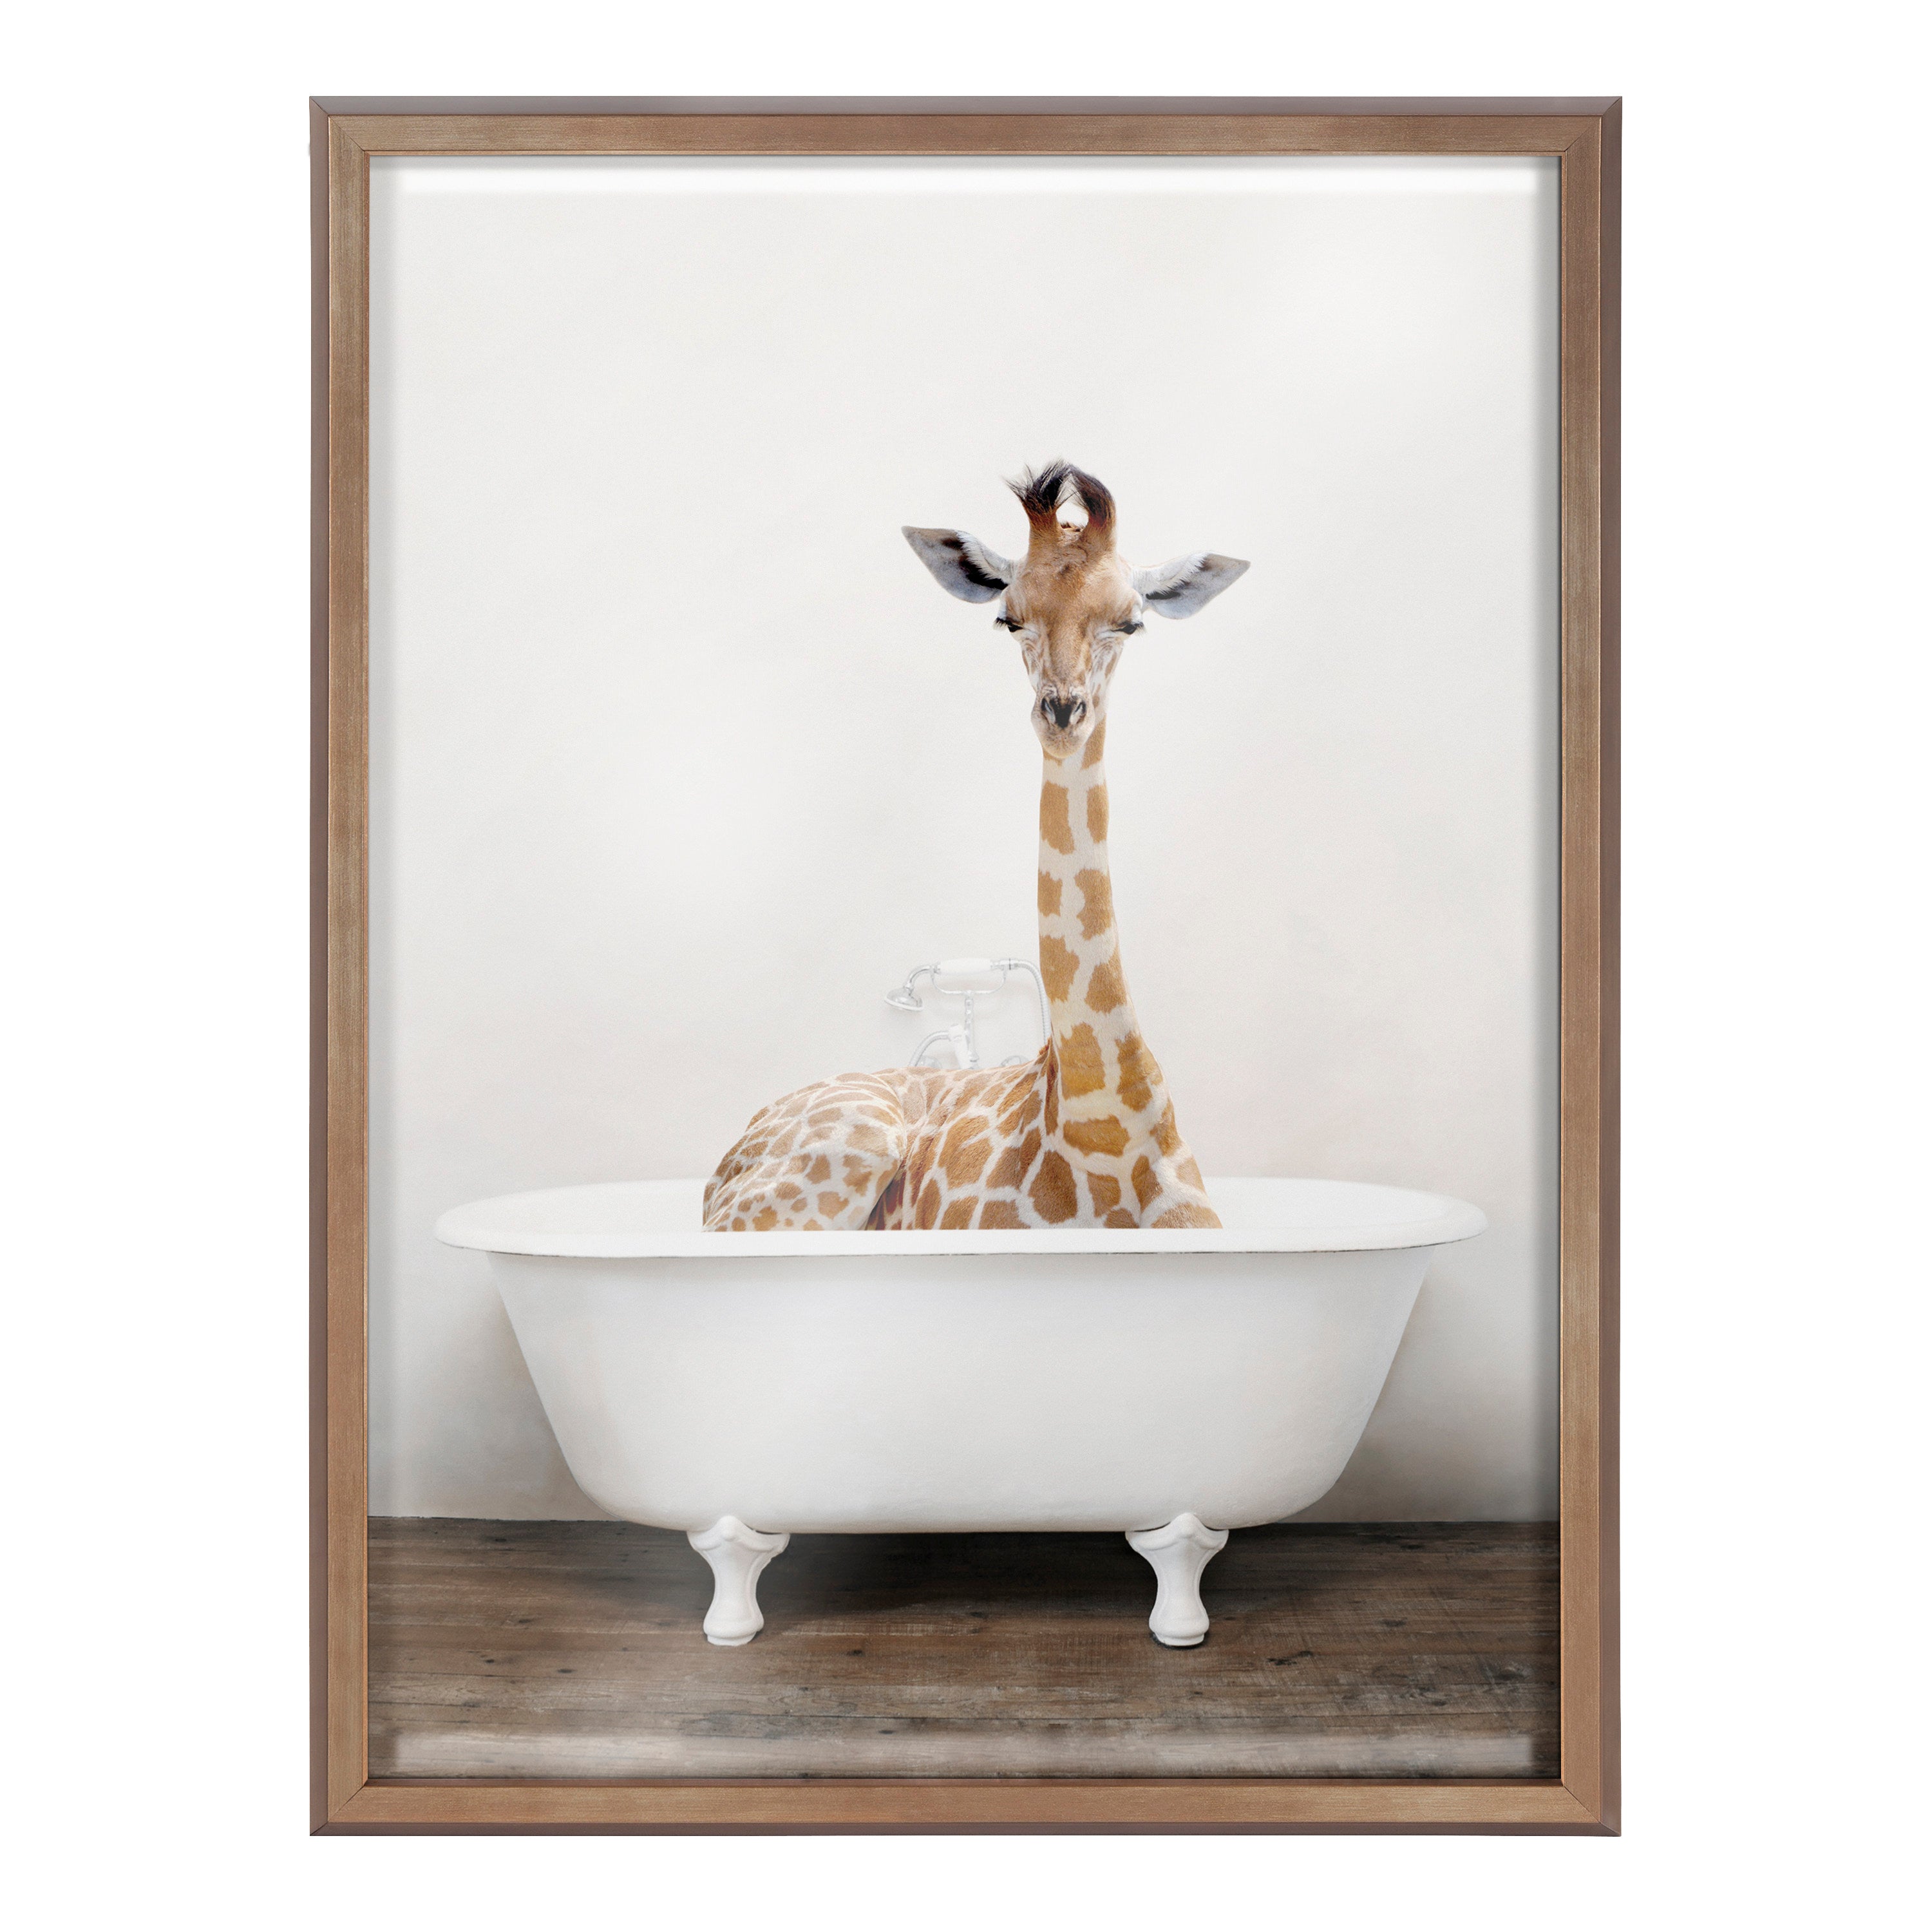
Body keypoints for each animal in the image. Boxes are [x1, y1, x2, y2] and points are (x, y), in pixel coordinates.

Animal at [703, 461, 1248, 1234]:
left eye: (1132, 621)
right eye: (1007, 617)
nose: (1062, 713)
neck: (1106, 1127)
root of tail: (720, 1167)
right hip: (837, 1156)